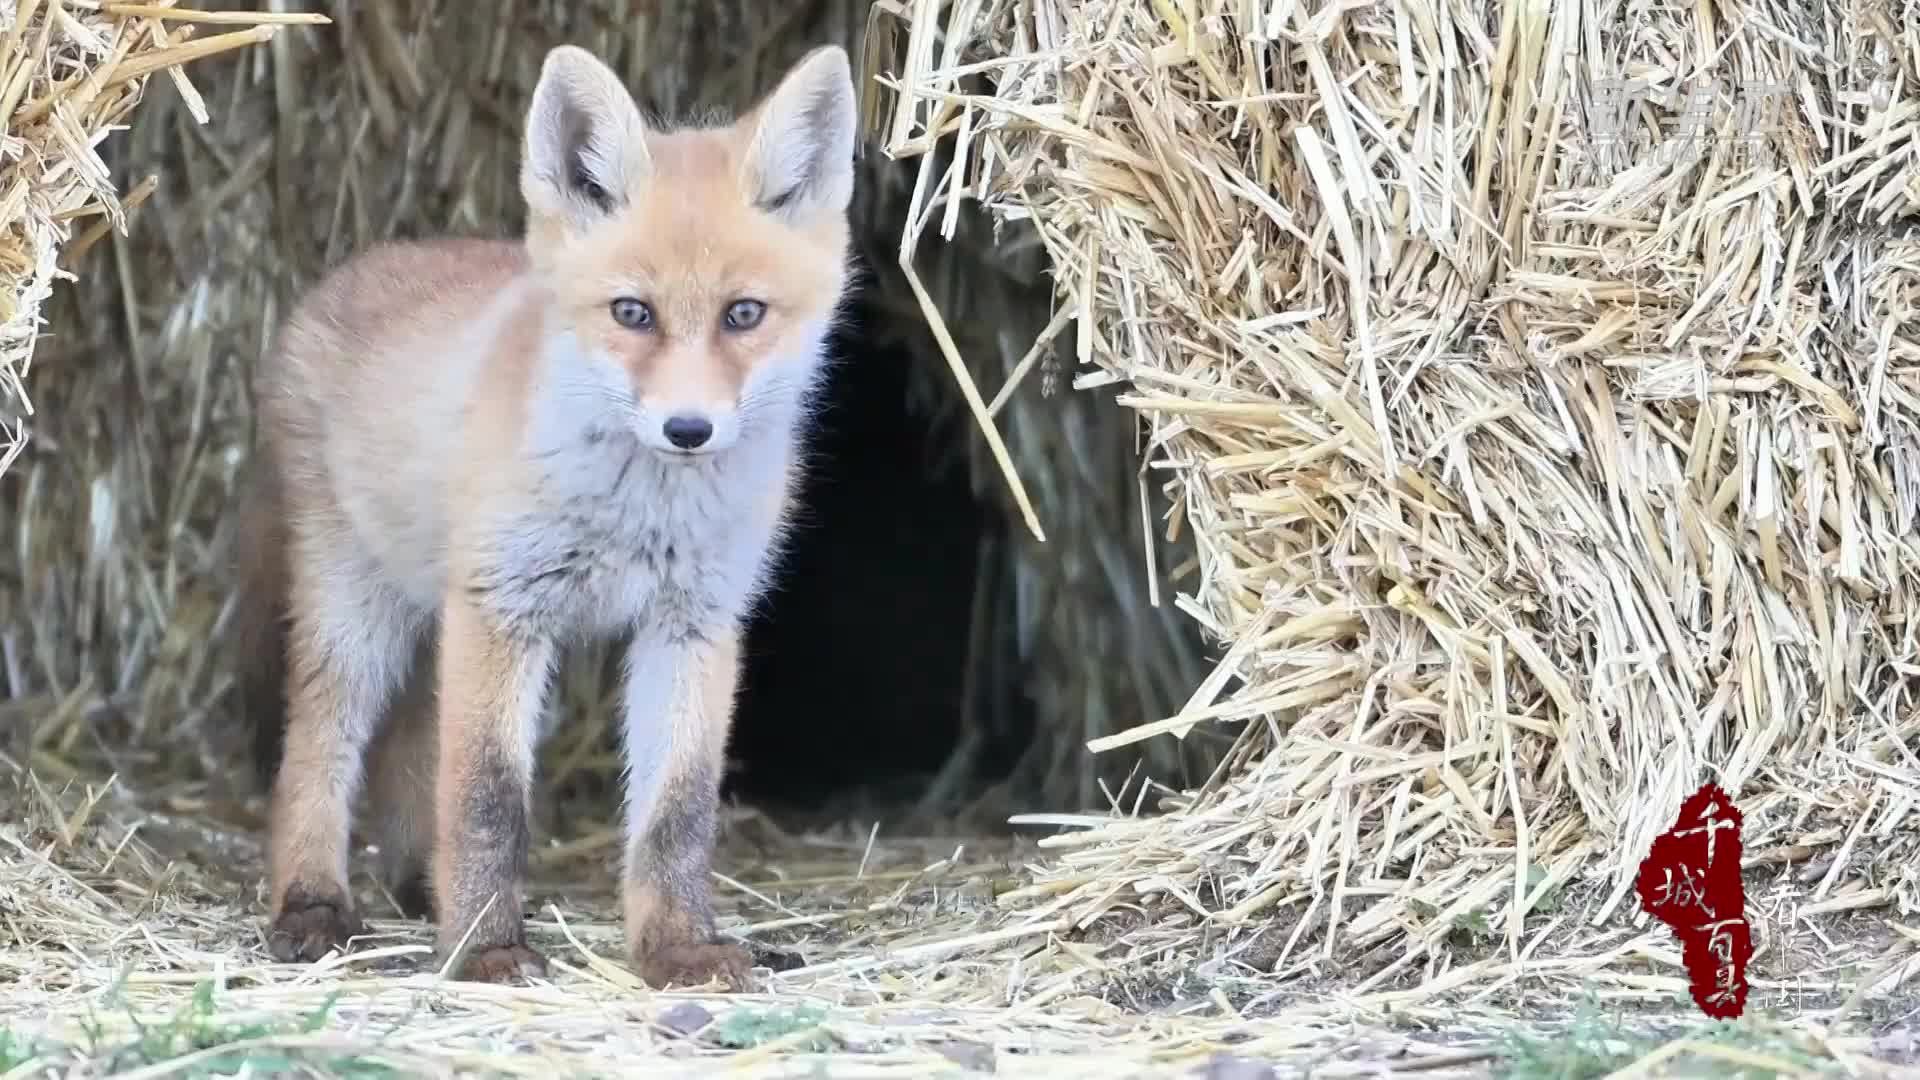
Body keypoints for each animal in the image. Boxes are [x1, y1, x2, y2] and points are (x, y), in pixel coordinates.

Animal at [224, 42, 856, 983]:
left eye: (744, 314)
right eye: (633, 313)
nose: (688, 429)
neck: (638, 515)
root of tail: (342, 279)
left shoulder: (694, 624)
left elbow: (677, 812)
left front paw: (676, 946)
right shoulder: (502, 607)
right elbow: (488, 796)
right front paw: (486, 950)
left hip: (430, 619)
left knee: (412, 749)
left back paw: (419, 887)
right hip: (356, 614)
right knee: (317, 751)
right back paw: (313, 903)